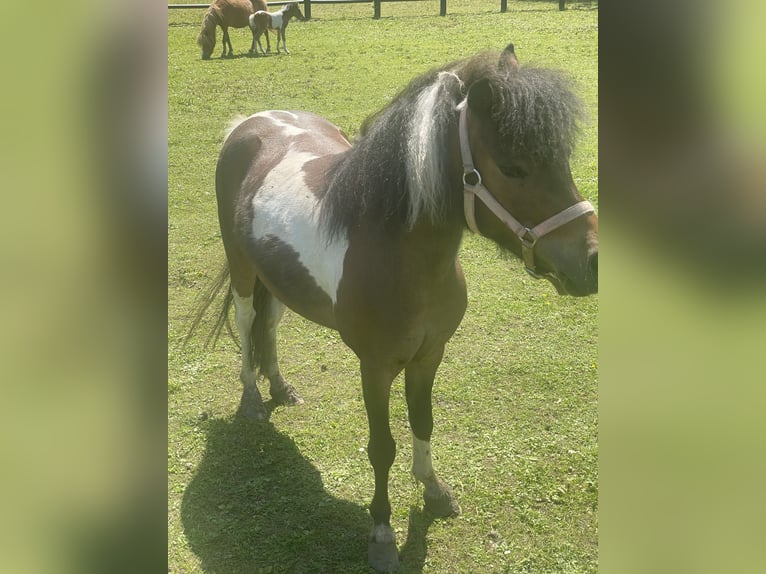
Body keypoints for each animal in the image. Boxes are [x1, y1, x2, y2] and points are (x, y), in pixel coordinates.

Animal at [187, 44, 598, 572]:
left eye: (561, 159)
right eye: (513, 167)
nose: (592, 261)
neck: (395, 252)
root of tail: (249, 123)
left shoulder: (429, 356)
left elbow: (423, 422)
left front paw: (436, 493)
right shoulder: (376, 367)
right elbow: (382, 447)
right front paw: (381, 534)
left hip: (276, 278)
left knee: (271, 325)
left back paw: (280, 387)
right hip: (242, 270)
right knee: (246, 322)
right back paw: (254, 399)